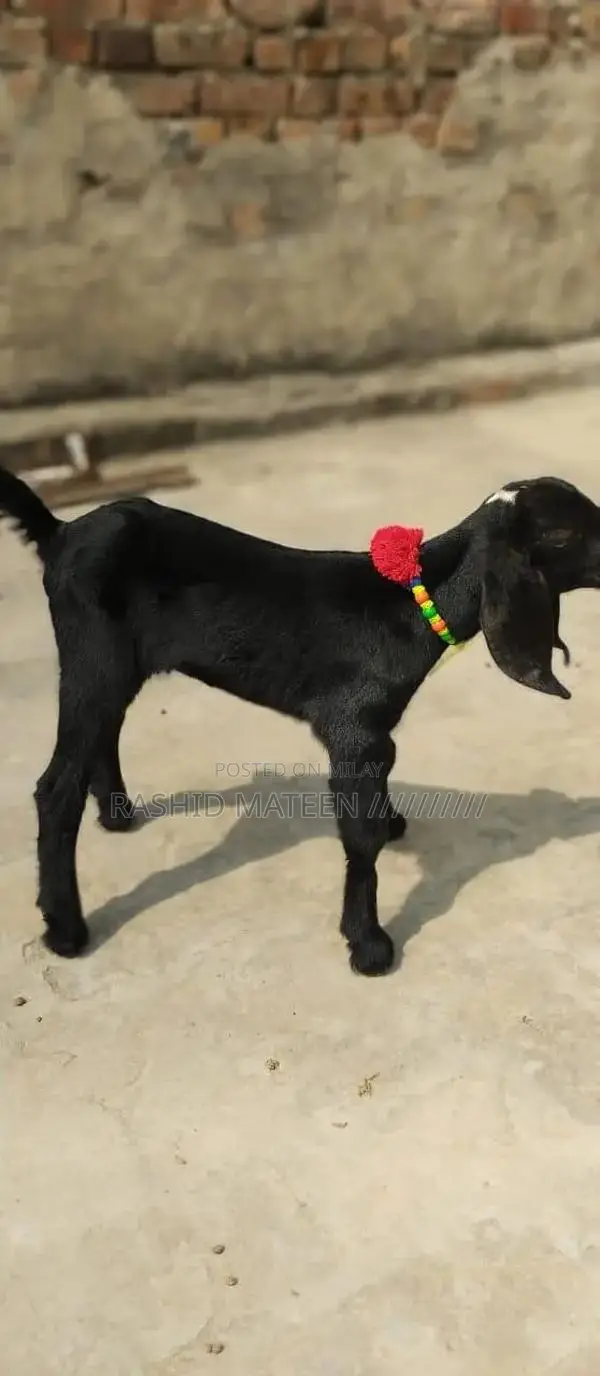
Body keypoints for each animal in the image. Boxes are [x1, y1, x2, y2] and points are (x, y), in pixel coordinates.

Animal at [0, 467, 598, 976]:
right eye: (566, 533)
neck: (411, 601)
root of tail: (60, 533)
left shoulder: (374, 736)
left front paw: (391, 821)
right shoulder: (354, 729)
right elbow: (361, 838)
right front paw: (368, 945)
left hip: (117, 663)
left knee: (103, 733)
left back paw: (118, 815)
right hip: (93, 653)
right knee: (56, 787)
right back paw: (66, 930)